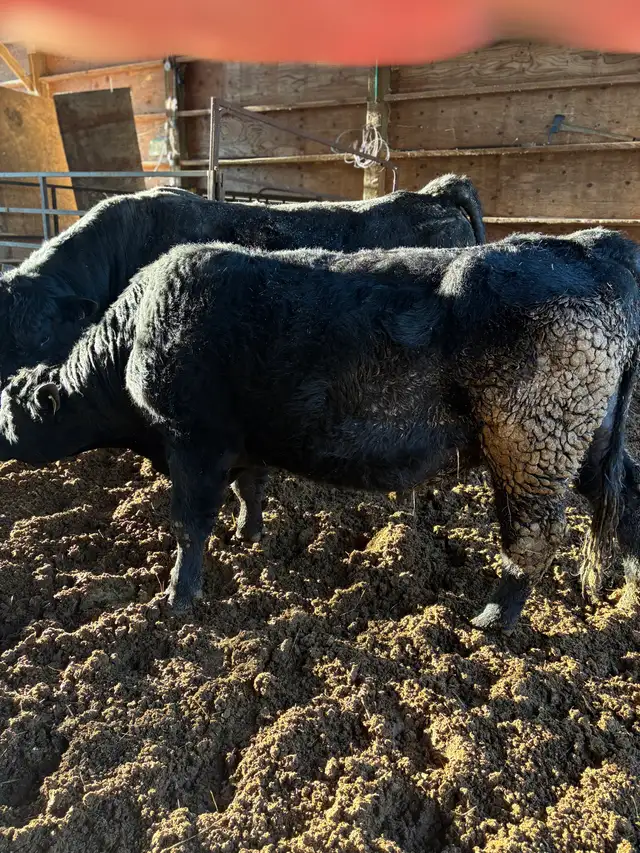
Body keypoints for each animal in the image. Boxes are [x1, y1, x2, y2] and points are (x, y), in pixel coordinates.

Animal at [1, 228, 639, 632]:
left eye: (10, 413)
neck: (135, 334)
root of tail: (591, 246)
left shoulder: (193, 443)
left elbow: (189, 525)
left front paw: (179, 598)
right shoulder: (243, 444)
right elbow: (250, 489)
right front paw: (248, 536)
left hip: (532, 448)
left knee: (532, 539)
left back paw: (494, 619)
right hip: (590, 442)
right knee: (627, 500)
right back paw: (631, 593)